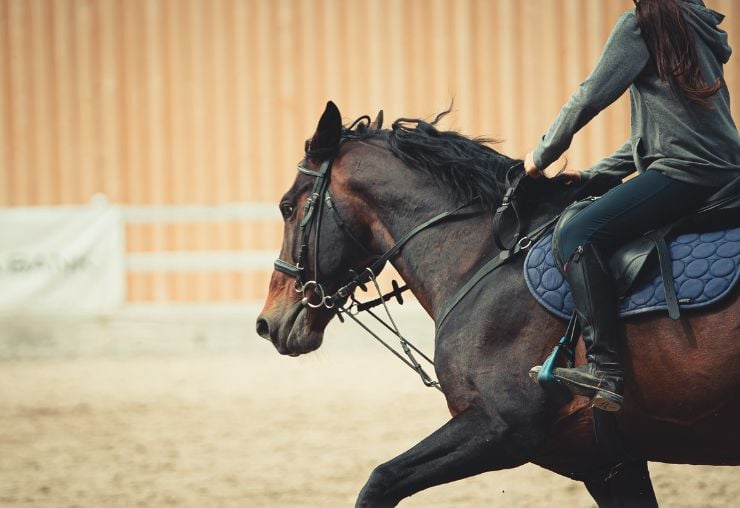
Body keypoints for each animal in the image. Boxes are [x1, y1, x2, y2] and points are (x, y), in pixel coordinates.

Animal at [256, 101, 740, 506]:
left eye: (287, 207)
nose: (267, 323)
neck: (485, 256)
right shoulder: (607, 464)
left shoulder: (501, 429)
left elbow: (380, 481)